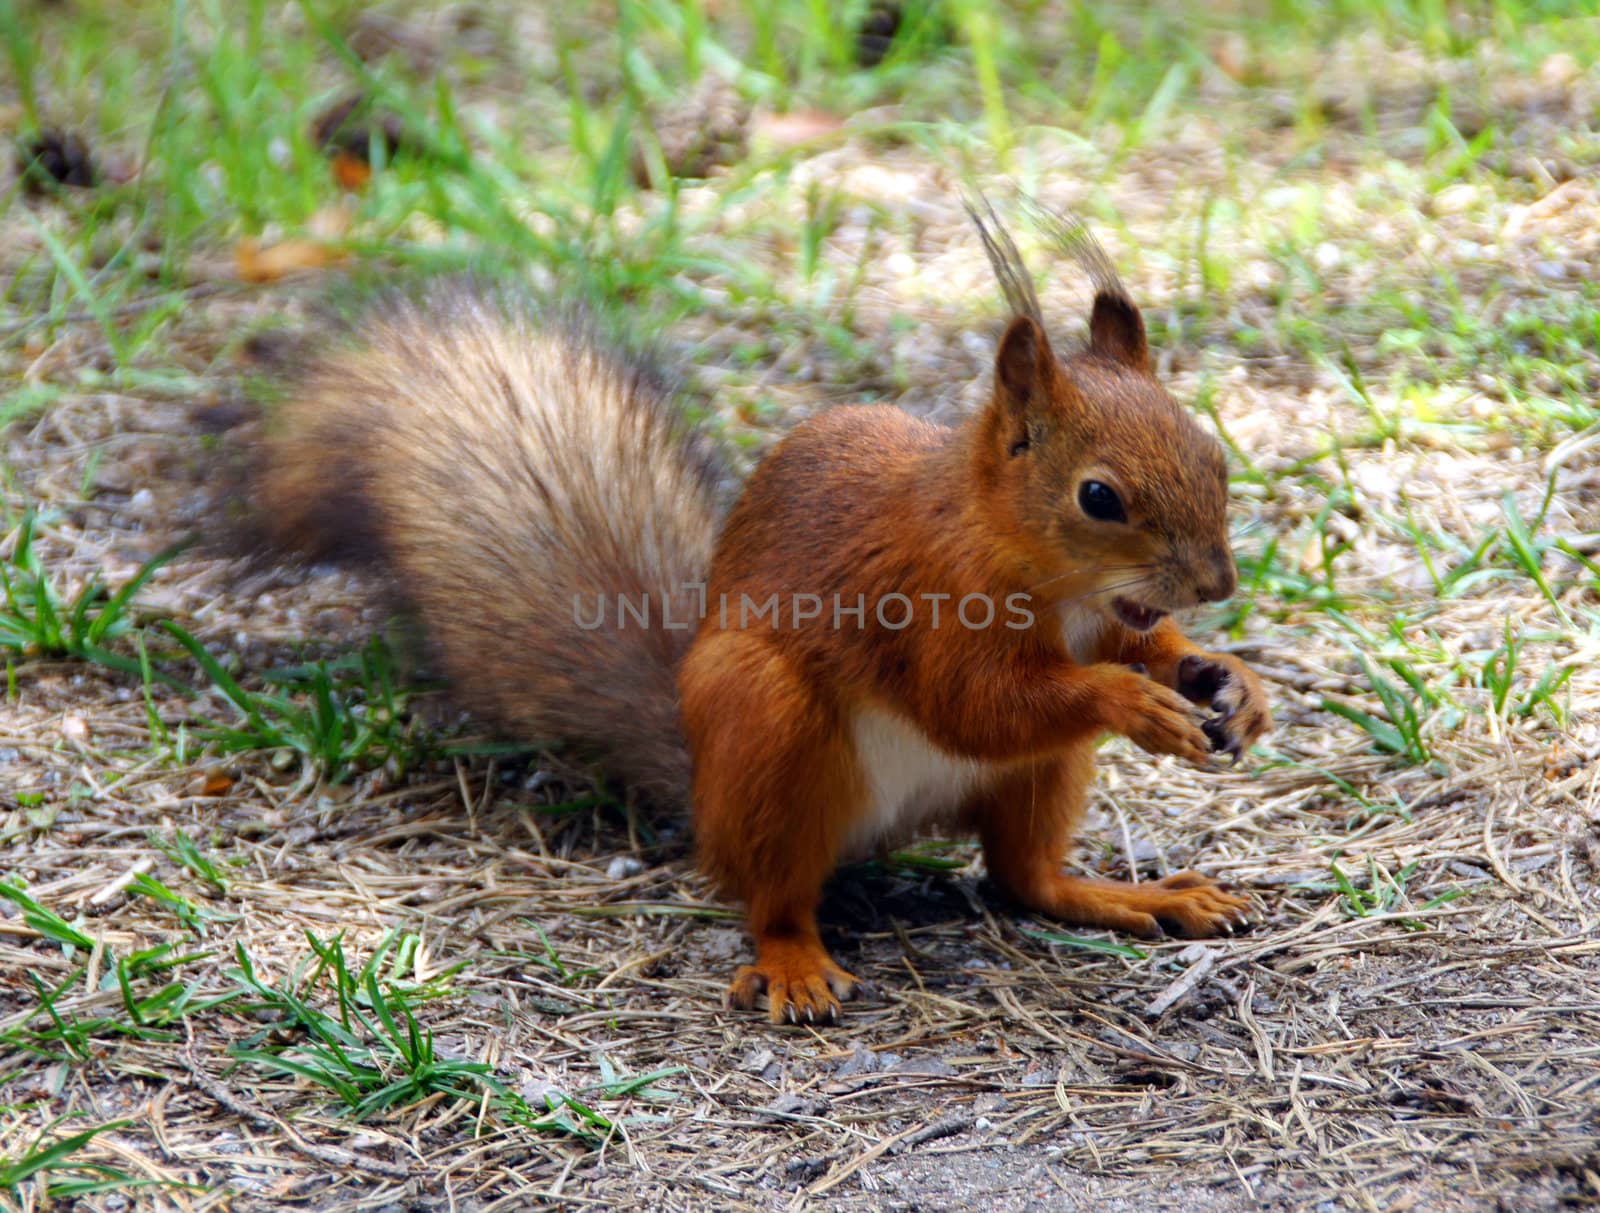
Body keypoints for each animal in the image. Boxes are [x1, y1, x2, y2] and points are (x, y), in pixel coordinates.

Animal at [256, 199, 1267, 1024]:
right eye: (1099, 497)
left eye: (1212, 452)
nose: (1217, 582)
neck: (1054, 582)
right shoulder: (923, 602)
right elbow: (974, 705)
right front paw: (1130, 702)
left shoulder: (1110, 619)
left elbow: (1144, 649)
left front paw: (1228, 681)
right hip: (768, 728)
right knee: (772, 894)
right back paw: (794, 963)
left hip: (1037, 776)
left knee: (1026, 876)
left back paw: (1142, 896)